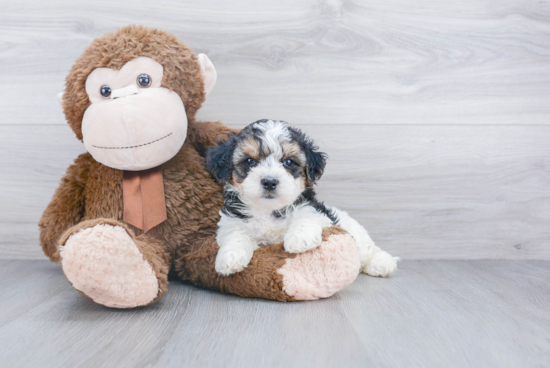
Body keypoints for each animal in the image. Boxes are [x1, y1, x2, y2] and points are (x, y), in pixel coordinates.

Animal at [207, 119, 402, 278]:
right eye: (249, 161)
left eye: (288, 162)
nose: (269, 182)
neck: (269, 210)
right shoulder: (232, 221)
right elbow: (235, 234)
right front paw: (230, 258)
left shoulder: (316, 212)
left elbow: (306, 216)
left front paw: (300, 239)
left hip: (355, 233)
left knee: (367, 250)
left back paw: (382, 263)